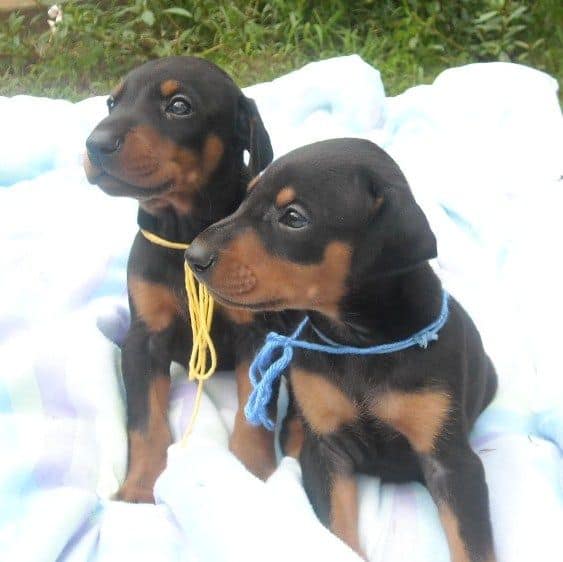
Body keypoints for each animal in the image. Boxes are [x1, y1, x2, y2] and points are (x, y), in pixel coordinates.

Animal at [82, 57, 286, 500]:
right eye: (111, 103)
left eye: (179, 106)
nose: (95, 143)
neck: (184, 236)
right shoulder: (144, 339)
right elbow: (145, 423)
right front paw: (138, 489)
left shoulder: (255, 333)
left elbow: (252, 411)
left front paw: (252, 472)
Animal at [187, 137, 500, 560]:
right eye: (246, 197)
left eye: (293, 217)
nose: (192, 256)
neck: (359, 343)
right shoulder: (326, 450)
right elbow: (336, 532)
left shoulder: (450, 461)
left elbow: (472, 544)